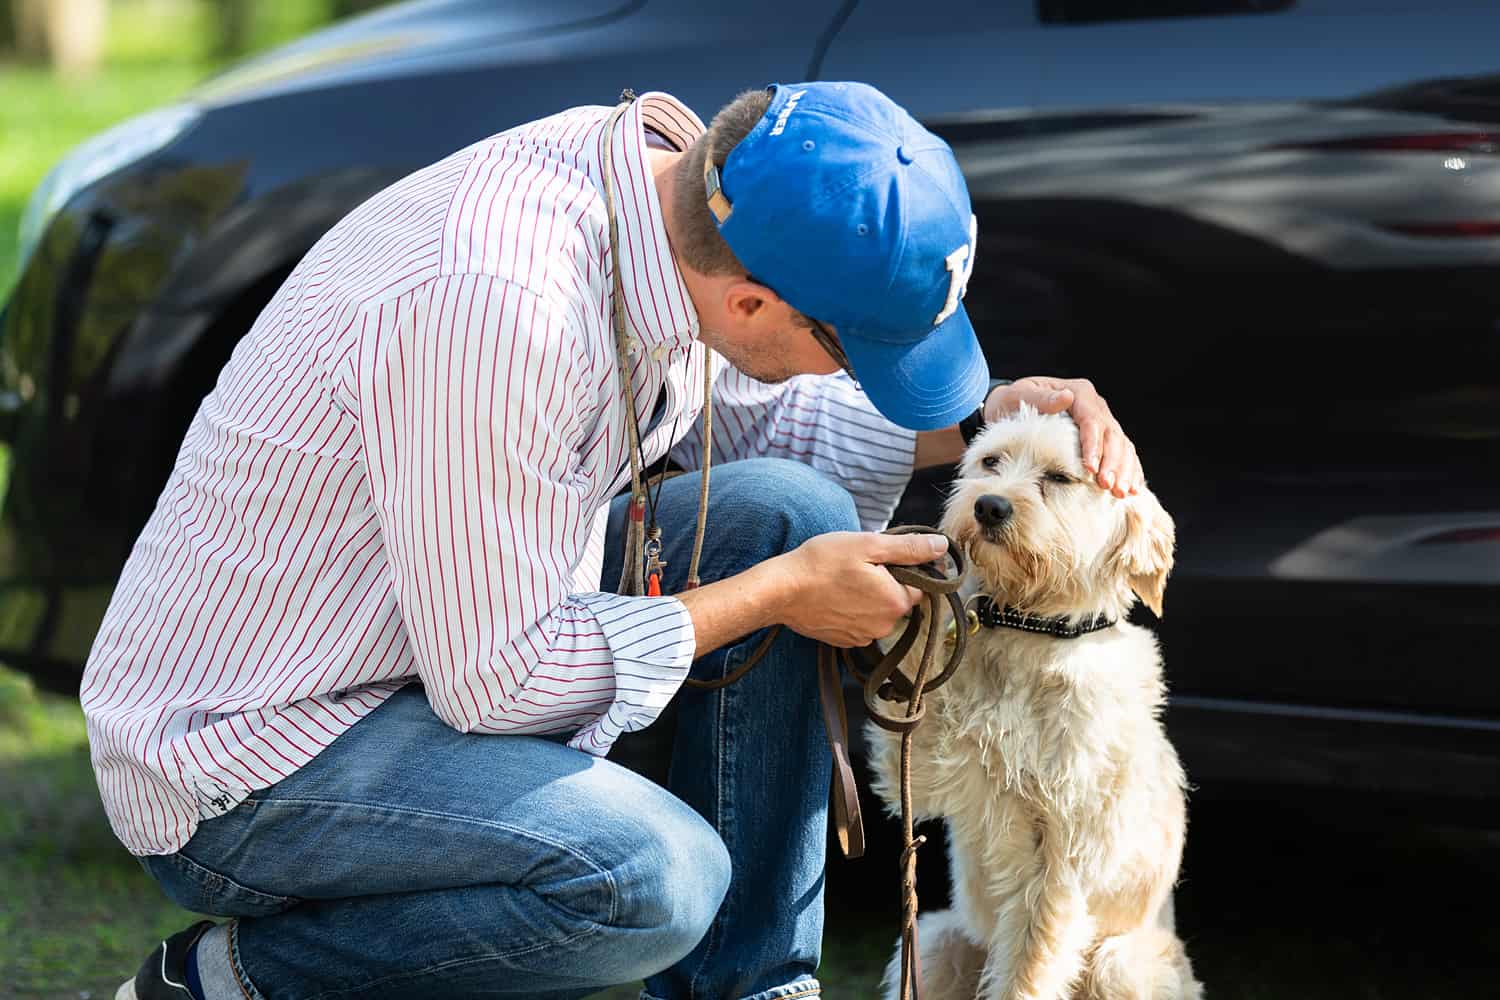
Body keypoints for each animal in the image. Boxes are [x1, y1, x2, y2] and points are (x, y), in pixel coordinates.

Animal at [864, 404, 1200, 1000]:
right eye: (990, 461)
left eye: (1061, 478)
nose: (989, 505)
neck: (1033, 632)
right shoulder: (925, 769)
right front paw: (914, 593)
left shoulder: (1061, 860)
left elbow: (1029, 965)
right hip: (936, 942)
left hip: (1123, 965)